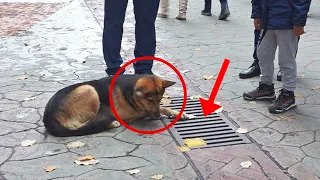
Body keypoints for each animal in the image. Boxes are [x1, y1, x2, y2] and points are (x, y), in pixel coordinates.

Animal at [42, 74, 190, 136]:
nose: (157, 116)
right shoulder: (129, 113)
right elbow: (143, 111)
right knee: (81, 126)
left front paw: (180, 114)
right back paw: (110, 123)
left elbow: (164, 108)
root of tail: (48, 115)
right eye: (149, 100)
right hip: (89, 89)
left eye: (159, 99)